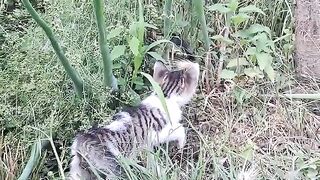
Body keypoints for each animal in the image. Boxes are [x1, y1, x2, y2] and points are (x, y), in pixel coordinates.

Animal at [69, 60, 200, 179]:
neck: (164, 96)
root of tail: (83, 139)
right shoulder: (159, 133)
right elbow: (180, 130)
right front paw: (181, 145)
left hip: (78, 170)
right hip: (113, 164)